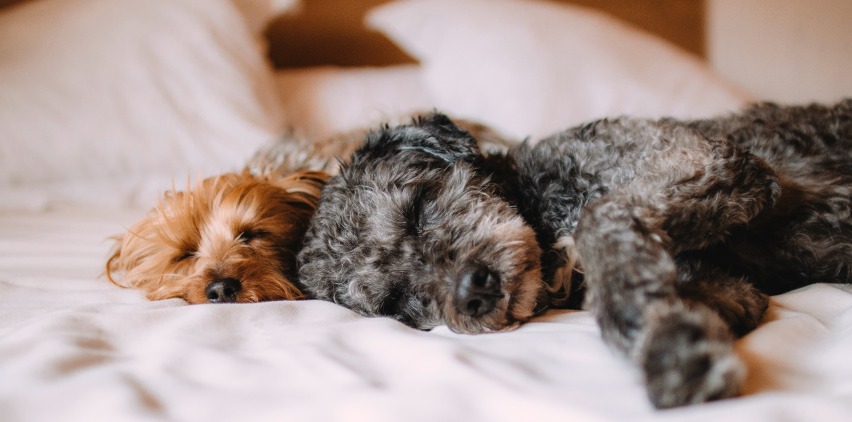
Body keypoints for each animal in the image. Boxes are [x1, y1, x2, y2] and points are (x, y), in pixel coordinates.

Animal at [296, 99, 848, 408]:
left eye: (417, 207)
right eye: (397, 303)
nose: (473, 292)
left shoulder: (710, 159)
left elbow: (598, 219)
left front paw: (669, 352)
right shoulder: (734, 287)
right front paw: (667, 328)